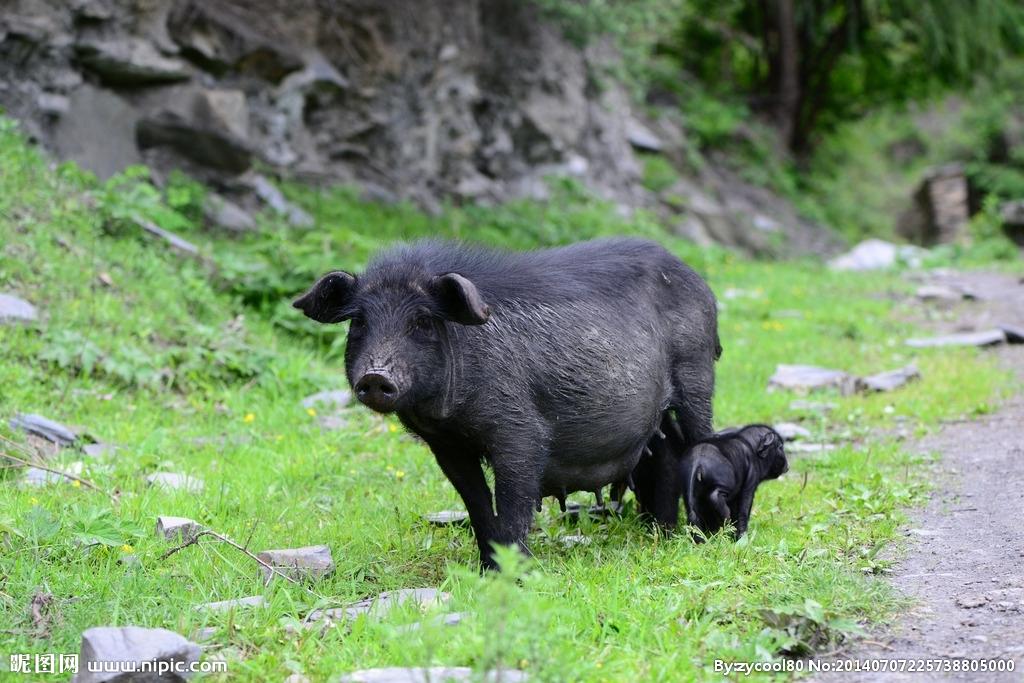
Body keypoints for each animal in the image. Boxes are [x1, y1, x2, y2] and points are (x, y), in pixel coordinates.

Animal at [292, 237, 716, 569]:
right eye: (359, 322)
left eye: (422, 322)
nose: (376, 376)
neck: (446, 416)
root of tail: (696, 278)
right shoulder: (448, 447)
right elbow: (477, 505)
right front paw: (486, 570)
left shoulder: (519, 431)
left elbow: (513, 503)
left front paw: (514, 574)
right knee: (666, 452)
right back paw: (660, 532)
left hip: (698, 372)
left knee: (700, 440)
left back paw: (703, 535)